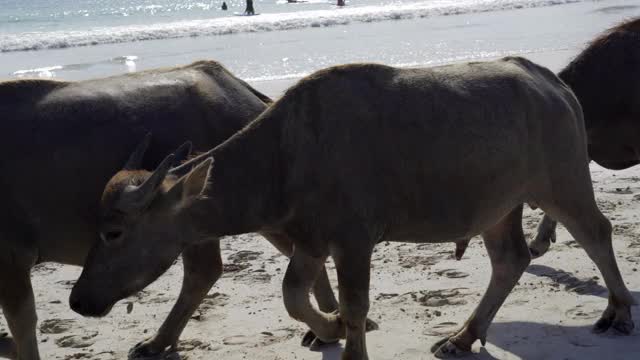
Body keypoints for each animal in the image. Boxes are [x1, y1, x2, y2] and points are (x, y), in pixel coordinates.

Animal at [71, 57, 636, 358]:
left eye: (114, 232)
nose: (78, 300)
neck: (286, 154)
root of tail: (552, 83)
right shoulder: (310, 241)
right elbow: (295, 296)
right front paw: (331, 327)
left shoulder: (353, 241)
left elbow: (357, 302)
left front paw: (347, 333)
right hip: (498, 208)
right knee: (510, 260)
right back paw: (464, 335)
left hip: (563, 183)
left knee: (598, 233)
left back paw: (618, 312)